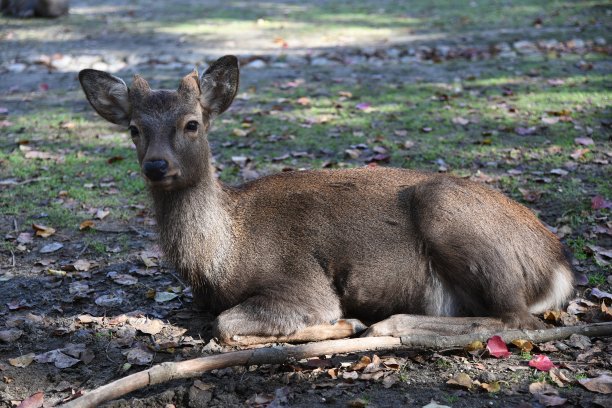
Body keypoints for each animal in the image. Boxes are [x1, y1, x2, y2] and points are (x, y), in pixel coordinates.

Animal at [80, 55, 572, 346]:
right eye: (134, 128)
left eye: (192, 123)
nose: (156, 166)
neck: (221, 257)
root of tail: (559, 268)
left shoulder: (301, 283)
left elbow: (227, 325)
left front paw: (344, 323)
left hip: (449, 214)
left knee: (518, 321)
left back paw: (390, 325)